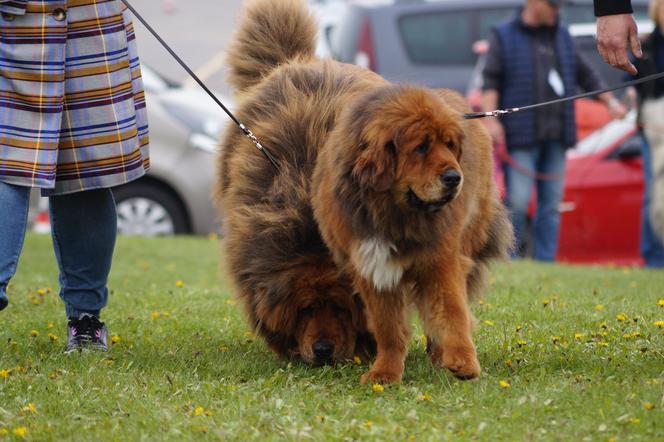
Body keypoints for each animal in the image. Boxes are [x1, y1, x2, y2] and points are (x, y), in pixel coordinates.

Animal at [220, 0, 510, 380]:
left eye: (341, 309)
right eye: (306, 309)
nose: (323, 350)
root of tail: (298, 61)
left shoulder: (438, 260)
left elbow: (449, 311)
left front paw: (457, 359)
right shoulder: (368, 266)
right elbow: (388, 325)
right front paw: (384, 371)